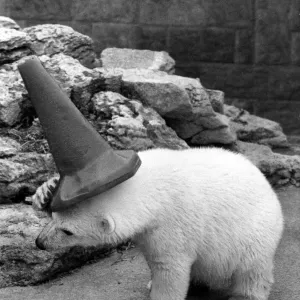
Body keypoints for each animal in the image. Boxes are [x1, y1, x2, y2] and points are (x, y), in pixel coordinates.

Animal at [32, 148, 284, 300]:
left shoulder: (173, 224)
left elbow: (169, 266)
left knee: (252, 270)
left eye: (68, 231)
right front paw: (45, 191)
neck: (153, 187)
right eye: (53, 216)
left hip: (253, 233)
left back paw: (245, 294)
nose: (39, 242)